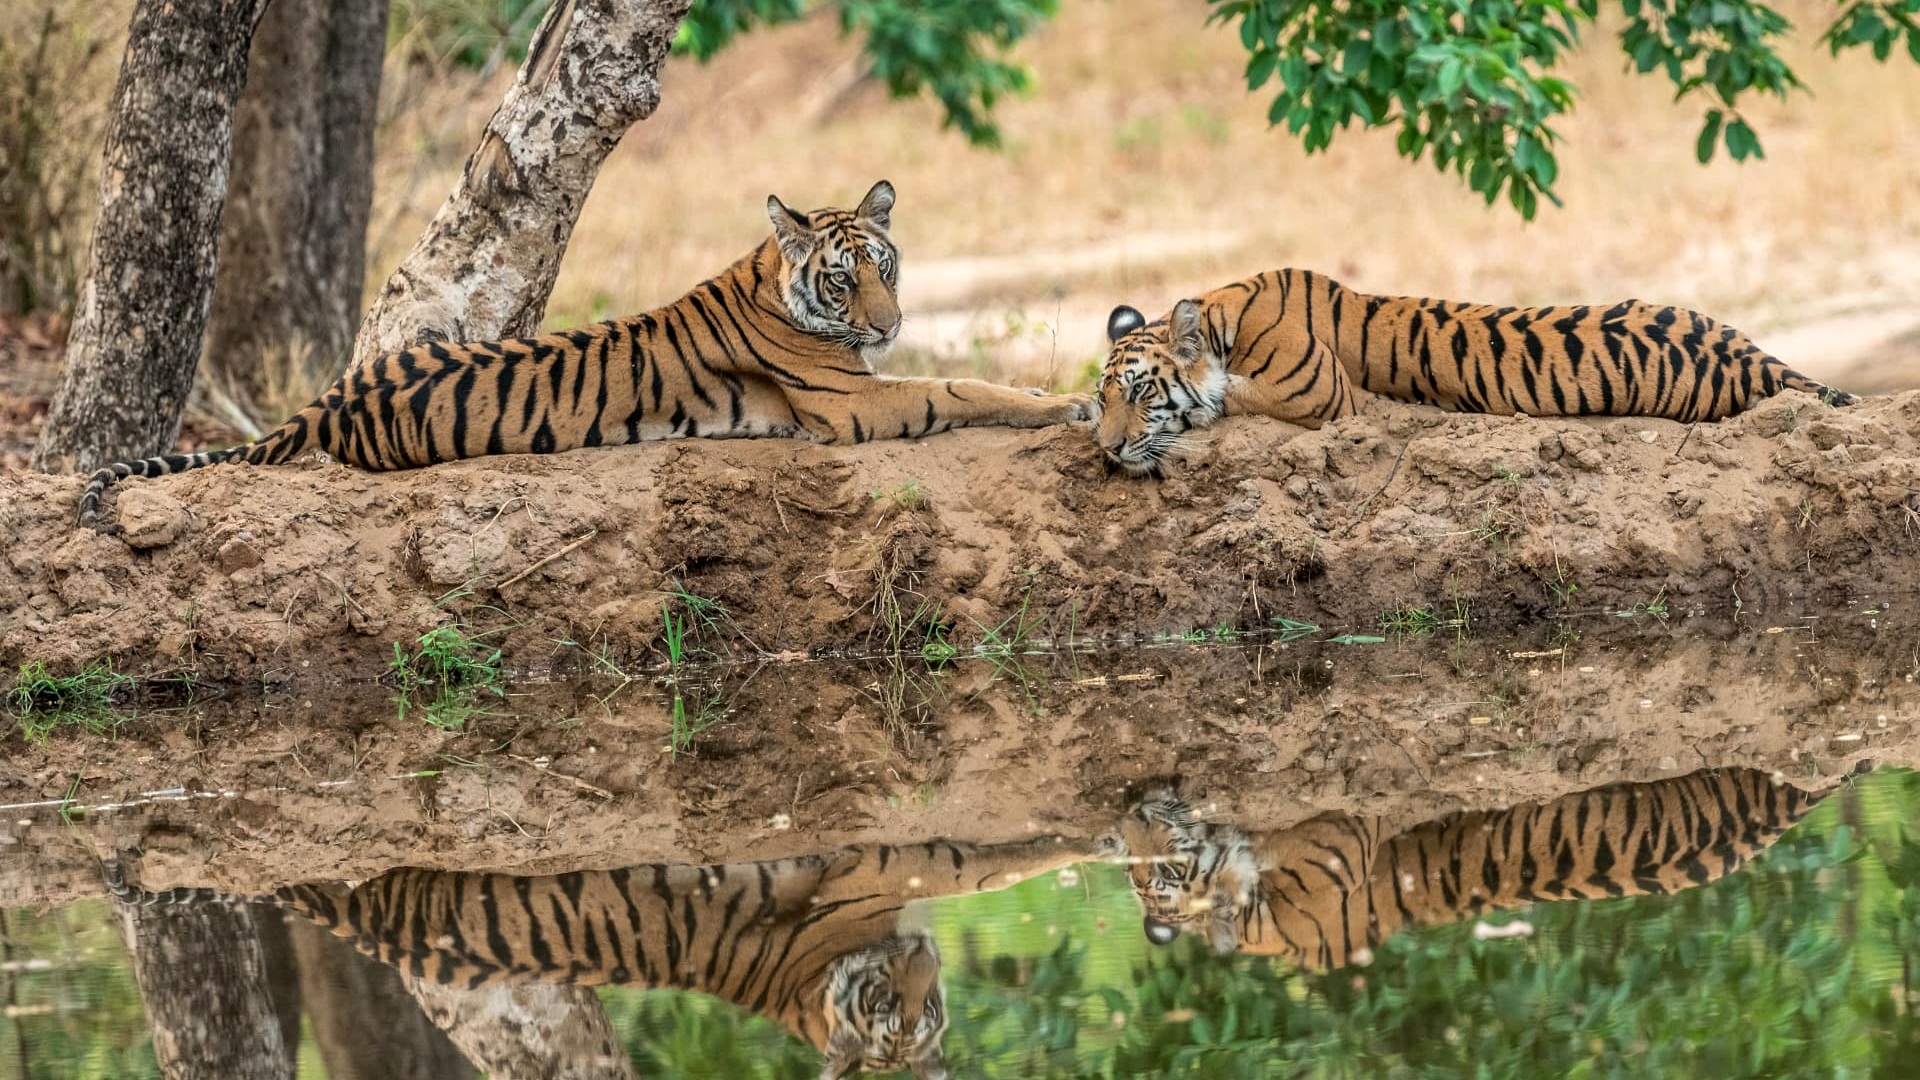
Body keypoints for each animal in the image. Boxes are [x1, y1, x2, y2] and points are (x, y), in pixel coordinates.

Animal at [76, 180, 1093, 527]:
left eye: (884, 265)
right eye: (844, 281)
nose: (885, 325)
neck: (775, 278)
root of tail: (327, 399)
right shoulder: (851, 403)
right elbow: (961, 384)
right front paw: (1066, 404)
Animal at [1095, 268, 1856, 475]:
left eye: (1141, 391)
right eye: (1104, 399)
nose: (1107, 449)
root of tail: (1752, 353)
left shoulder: (1316, 396)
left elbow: (1228, 400)